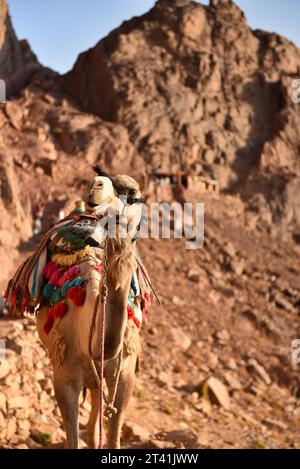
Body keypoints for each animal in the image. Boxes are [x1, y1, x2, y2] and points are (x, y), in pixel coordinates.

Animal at [35, 172, 146, 446]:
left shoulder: (126, 374)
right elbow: (72, 438)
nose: (97, 184)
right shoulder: (64, 376)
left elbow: (114, 435)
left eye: (132, 195)